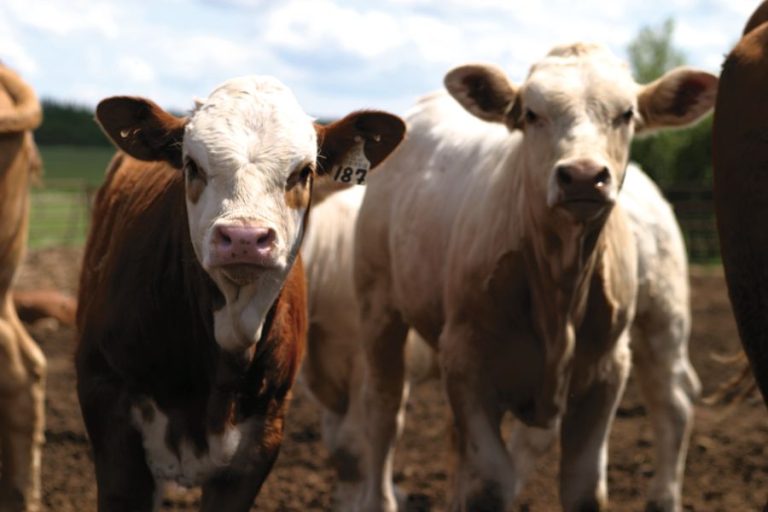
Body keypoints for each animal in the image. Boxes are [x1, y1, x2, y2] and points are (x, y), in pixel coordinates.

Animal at [351, 43, 716, 512]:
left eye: (627, 113)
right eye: (531, 113)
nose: (583, 175)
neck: (558, 289)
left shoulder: (606, 370)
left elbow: (583, 487)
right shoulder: (466, 360)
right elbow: (490, 482)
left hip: (664, 320)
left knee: (672, 401)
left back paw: (663, 499)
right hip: (377, 303)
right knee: (384, 406)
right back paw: (378, 498)